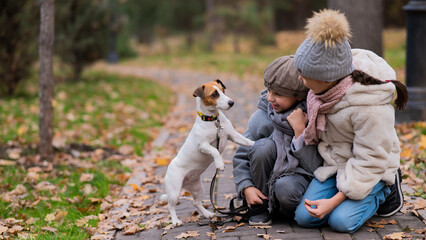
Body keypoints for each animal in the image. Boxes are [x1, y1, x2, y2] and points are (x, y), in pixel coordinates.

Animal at [160, 79, 253, 226]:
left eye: (223, 90)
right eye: (214, 94)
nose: (232, 102)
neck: (213, 120)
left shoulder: (233, 136)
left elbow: (247, 141)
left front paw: (255, 143)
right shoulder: (203, 145)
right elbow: (215, 150)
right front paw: (219, 164)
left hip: (198, 188)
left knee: (196, 202)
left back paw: (208, 214)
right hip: (174, 191)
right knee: (170, 206)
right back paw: (175, 221)